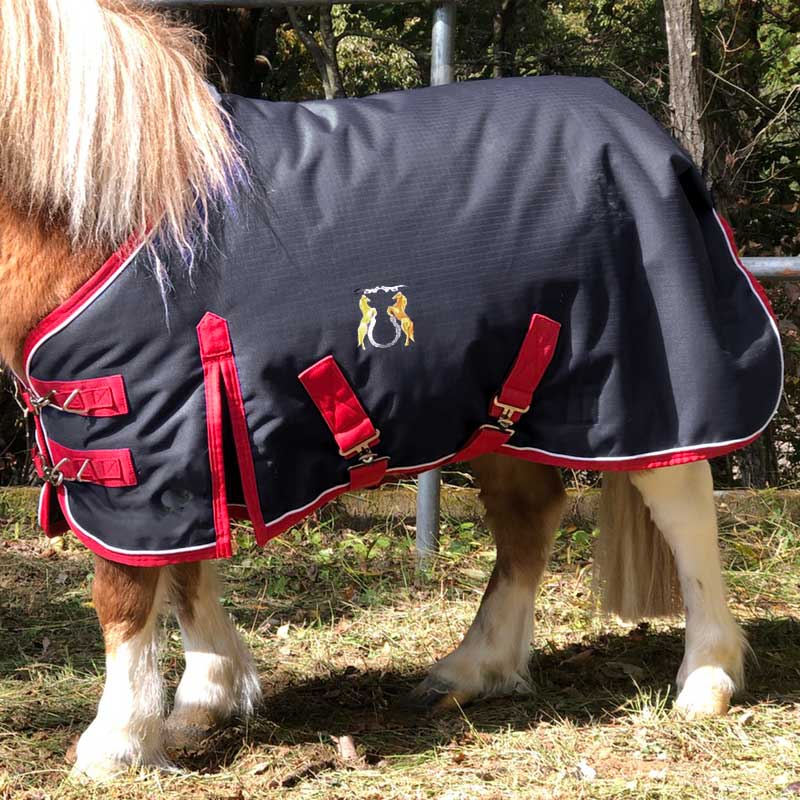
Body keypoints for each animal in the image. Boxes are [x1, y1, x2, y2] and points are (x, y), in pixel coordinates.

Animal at [0, 0, 769, 782]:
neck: (120, 208)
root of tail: (651, 137)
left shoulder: (134, 446)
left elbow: (124, 593)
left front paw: (117, 741)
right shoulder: (181, 436)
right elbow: (186, 573)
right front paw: (204, 702)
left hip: (652, 391)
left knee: (683, 508)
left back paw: (706, 679)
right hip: (500, 411)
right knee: (529, 517)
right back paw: (471, 669)